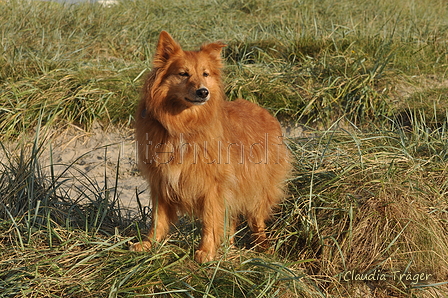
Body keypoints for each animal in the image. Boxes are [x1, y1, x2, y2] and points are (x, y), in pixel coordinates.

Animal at [130, 31, 290, 262]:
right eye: (183, 74)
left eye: (205, 74)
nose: (203, 92)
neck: (184, 125)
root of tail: (265, 111)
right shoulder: (161, 181)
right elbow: (158, 218)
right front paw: (149, 244)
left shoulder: (212, 186)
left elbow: (210, 220)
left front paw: (206, 251)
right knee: (231, 220)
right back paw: (228, 248)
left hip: (257, 186)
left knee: (256, 219)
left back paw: (263, 246)